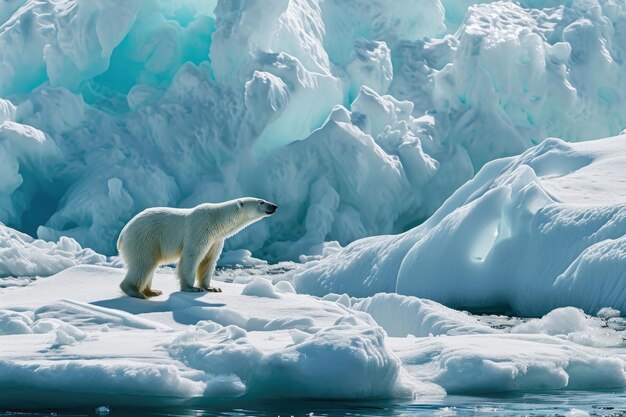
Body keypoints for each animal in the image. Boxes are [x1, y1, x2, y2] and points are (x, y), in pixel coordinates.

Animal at [116, 197, 276, 298]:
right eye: (261, 202)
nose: (274, 206)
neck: (216, 220)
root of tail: (123, 234)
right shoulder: (200, 229)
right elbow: (192, 256)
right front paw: (191, 288)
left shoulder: (215, 239)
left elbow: (209, 260)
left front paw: (212, 288)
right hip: (145, 238)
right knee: (143, 264)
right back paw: (135, 291)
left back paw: (152, 291)